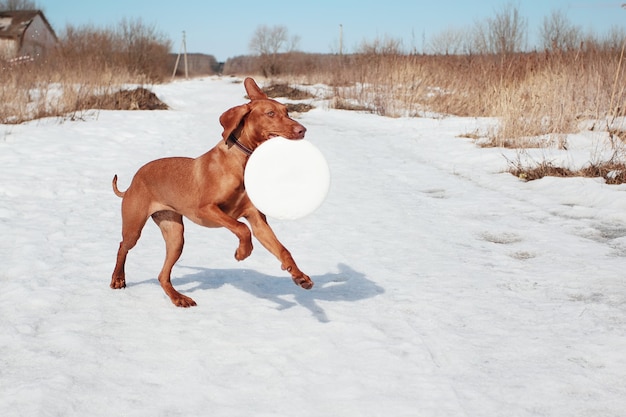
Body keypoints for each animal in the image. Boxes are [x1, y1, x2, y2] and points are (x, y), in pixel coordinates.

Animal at [109, 77, 312, 306]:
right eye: (270, 114)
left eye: (287, 111)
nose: (302, 130)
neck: (240, 163)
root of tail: (133, 181)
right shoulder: (206, 210)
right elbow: (242, 228)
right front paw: (242, 252)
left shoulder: (258, 222)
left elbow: (282, 249)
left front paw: (299, 276)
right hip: (134, 227)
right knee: (122, 246)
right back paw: (118, 279)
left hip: (175, 235)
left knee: (162, 275)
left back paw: (178, 298)